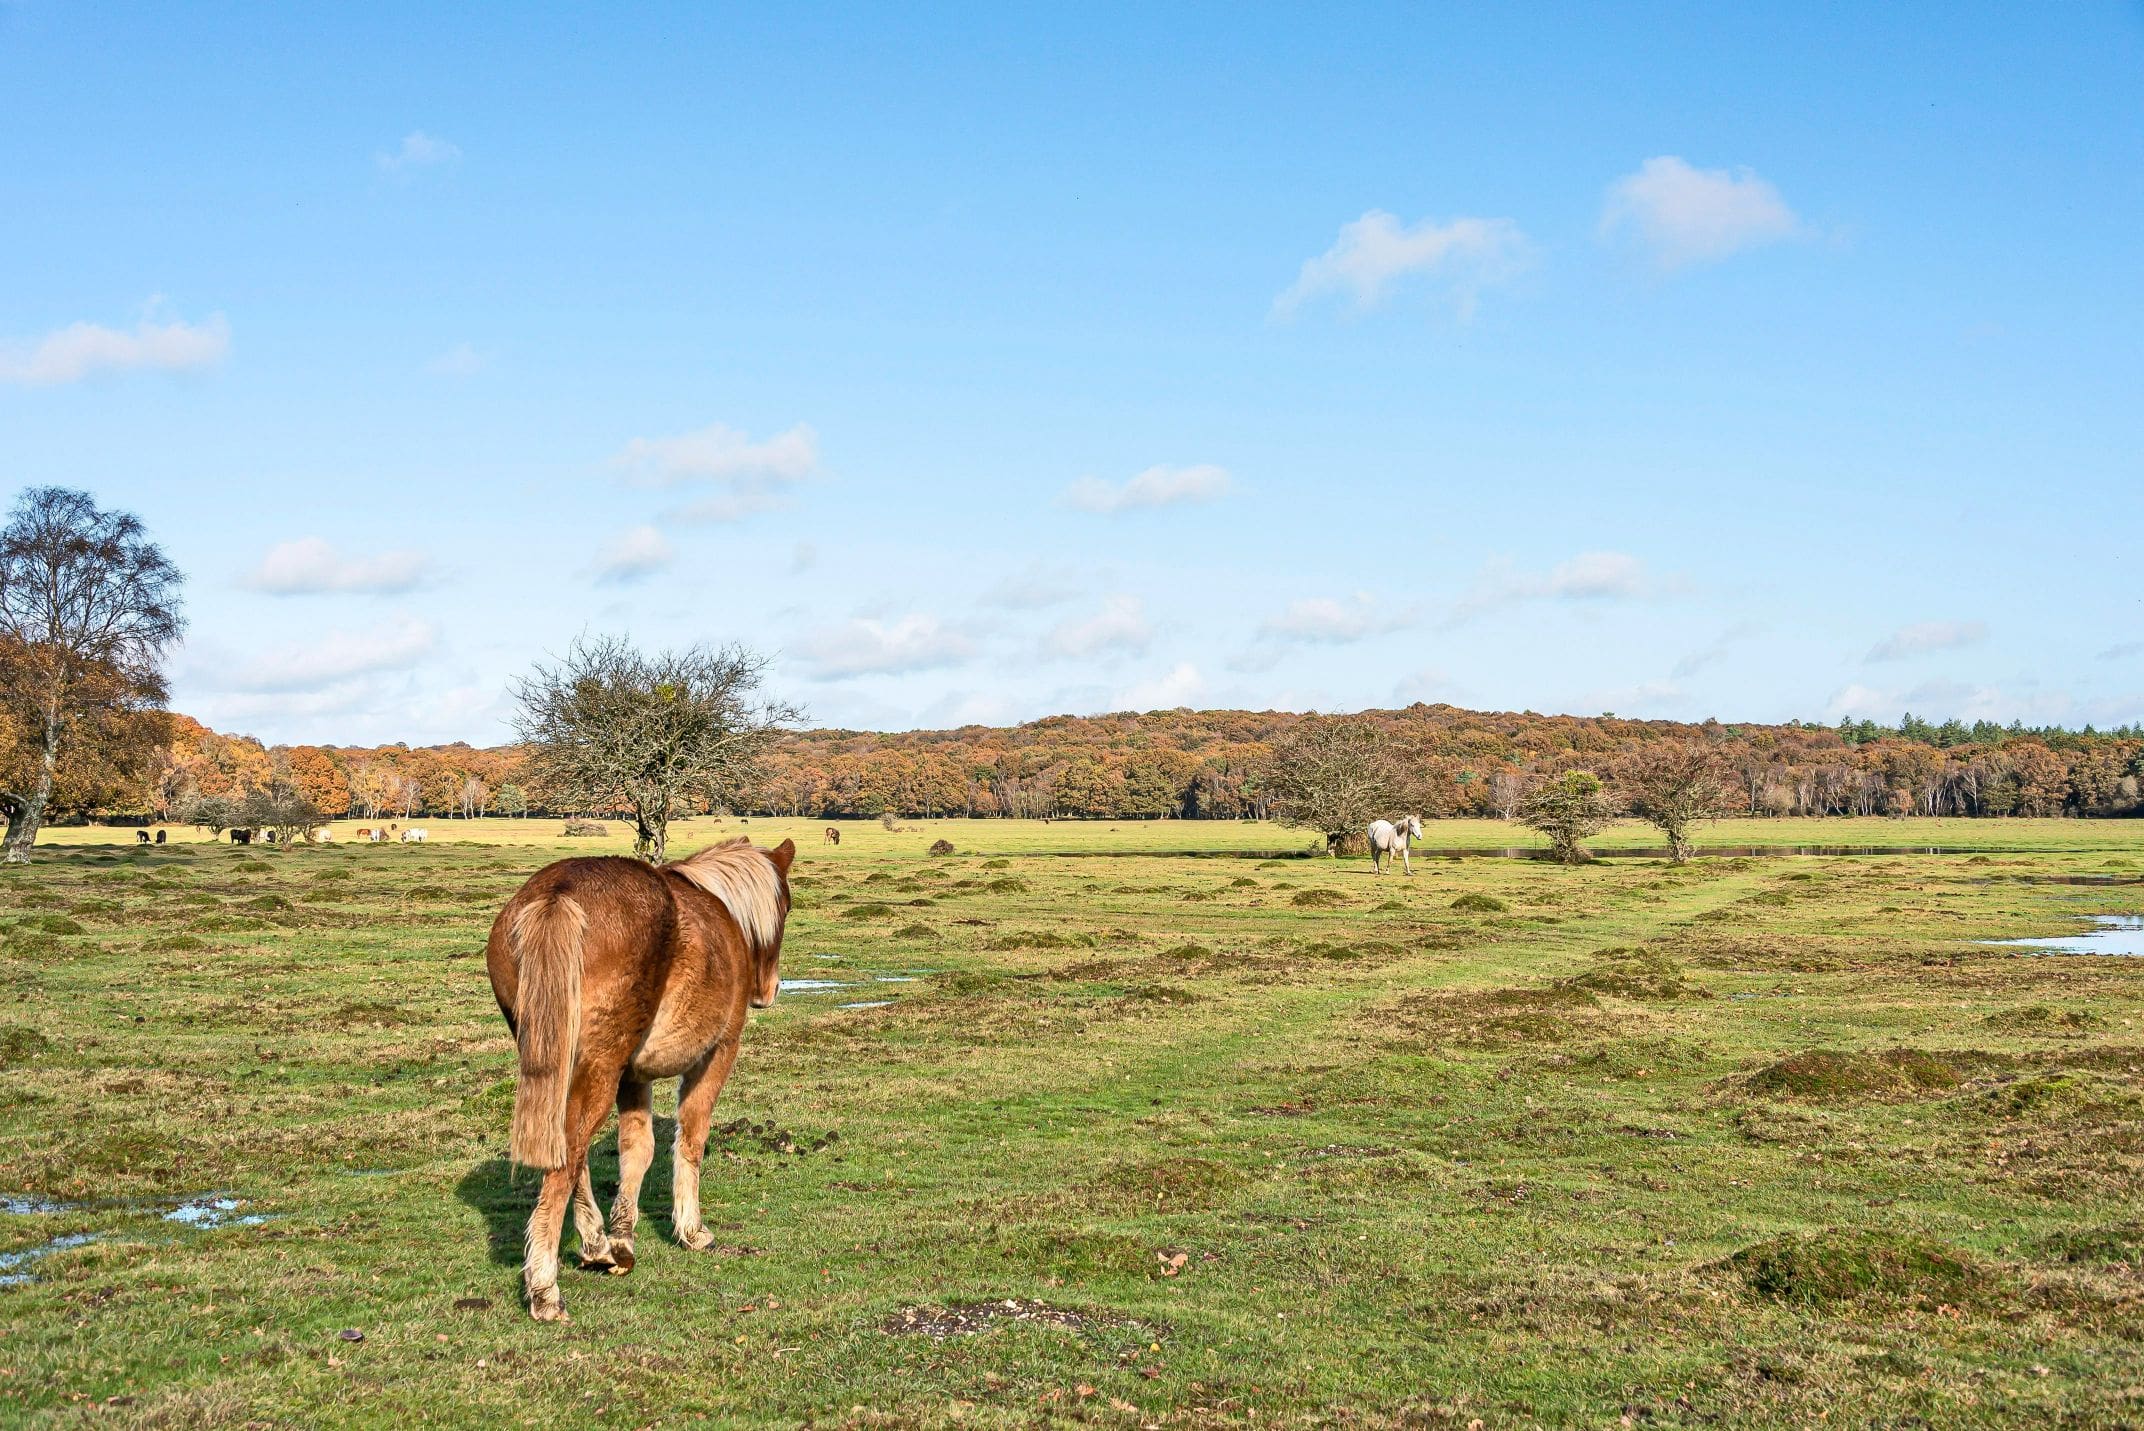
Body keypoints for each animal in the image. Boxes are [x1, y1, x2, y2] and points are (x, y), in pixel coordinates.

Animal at [486, 841, 797, 1321]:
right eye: (786, 906)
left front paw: (621, 1234)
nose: (768, 991)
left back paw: (595, 1243)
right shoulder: (717, 1054)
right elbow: (691, 1137)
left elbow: (637, 1150)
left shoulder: (633, 1077)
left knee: (570, 1151)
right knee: (566, 1160)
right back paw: (544, 1287)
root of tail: (559, 893)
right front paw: (690, 1228)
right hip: (601, 1068)